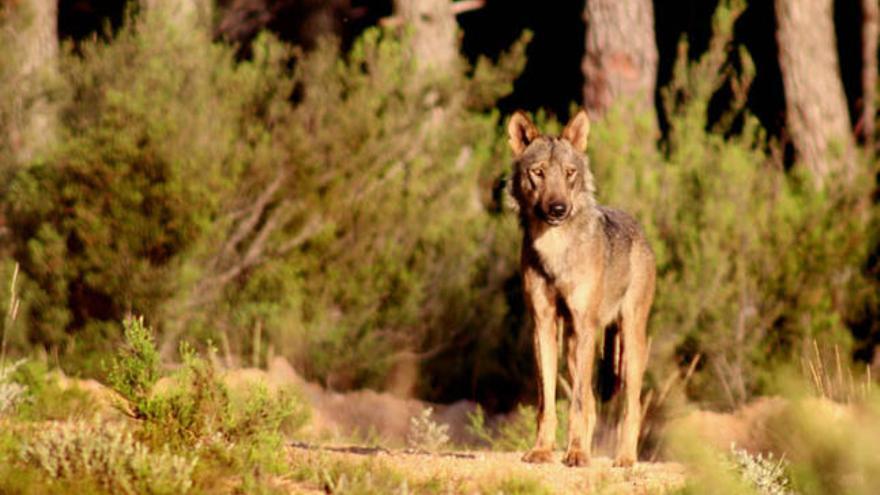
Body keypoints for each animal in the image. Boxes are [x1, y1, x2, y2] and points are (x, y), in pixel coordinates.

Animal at [506, 109, 656, 468]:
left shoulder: (585, 325)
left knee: (630, 407)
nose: (558, 208)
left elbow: (574, 406)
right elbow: (547, 402)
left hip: (628, 342)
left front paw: (575, 454)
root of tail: (638, 228)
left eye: (569, 173)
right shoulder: (543, 325)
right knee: (589, 404)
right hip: (575, 347)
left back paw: (625, 459)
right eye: (538, 173)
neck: (555, 252)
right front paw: (543, 450)